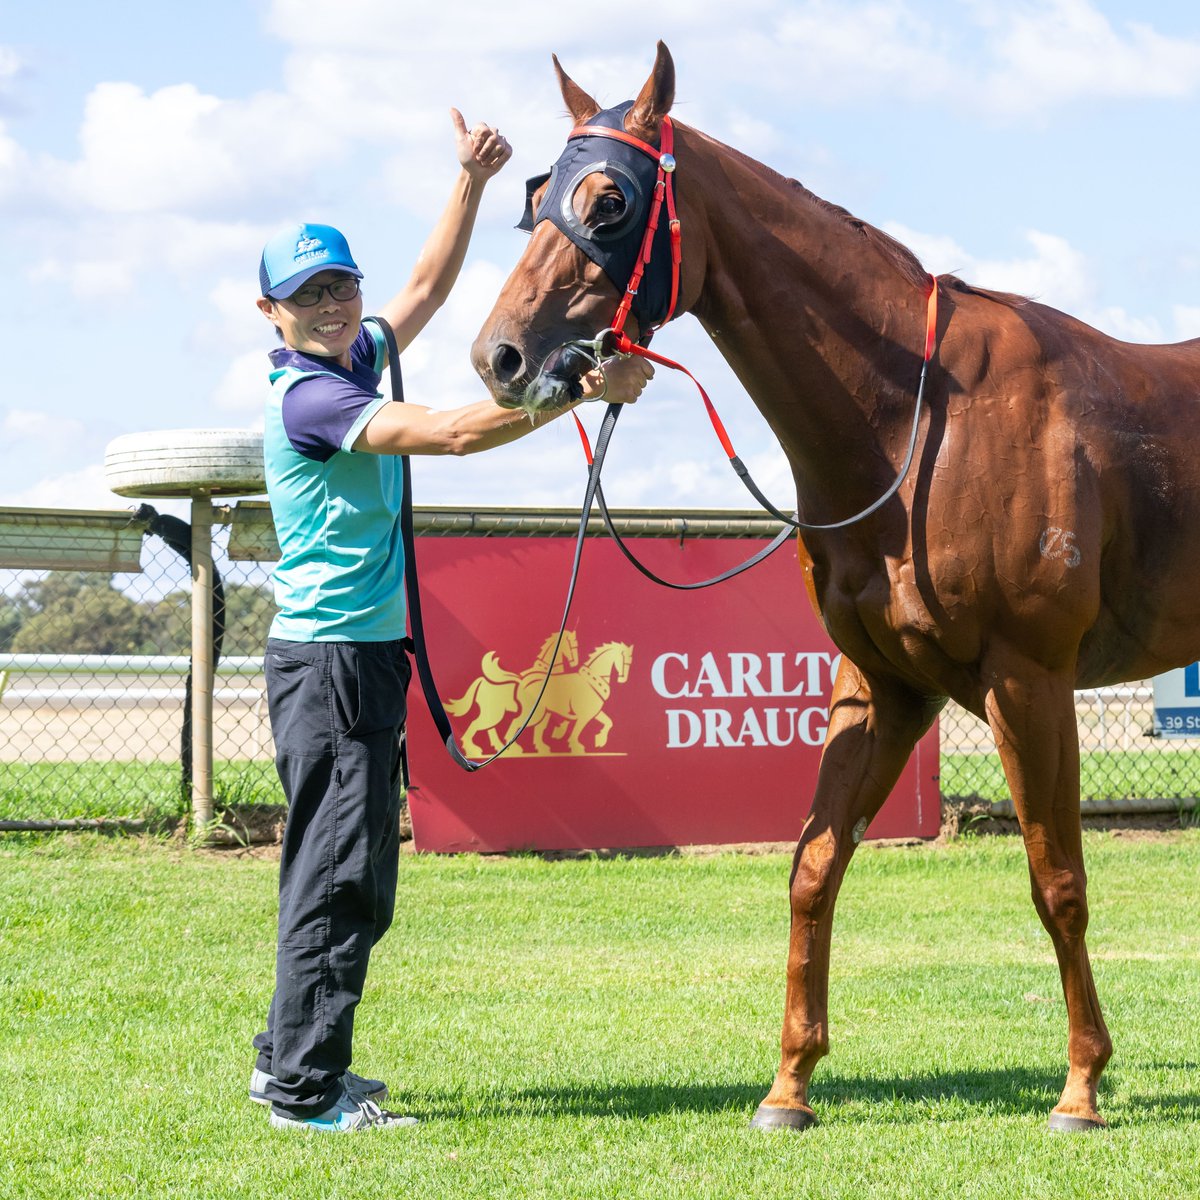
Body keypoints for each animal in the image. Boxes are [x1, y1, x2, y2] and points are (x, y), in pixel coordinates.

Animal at [451, 628, 580, 748]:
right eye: (572, 645)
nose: (574, 663)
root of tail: (482, 681)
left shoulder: (547, 711)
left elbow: (542, 727)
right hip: (496, 713)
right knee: (477, 724)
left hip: (492, 713)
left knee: (489, 728)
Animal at [504, 638, 633, 748]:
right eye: (624, 661)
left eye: (630, 662)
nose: (623, 679)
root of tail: (523, 681)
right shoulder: (584, 716)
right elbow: (576, 732)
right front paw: (575, 744)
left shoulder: (594, 713)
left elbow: (608, 722)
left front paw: (600, 739)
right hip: (536, 714)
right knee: (517, 723)